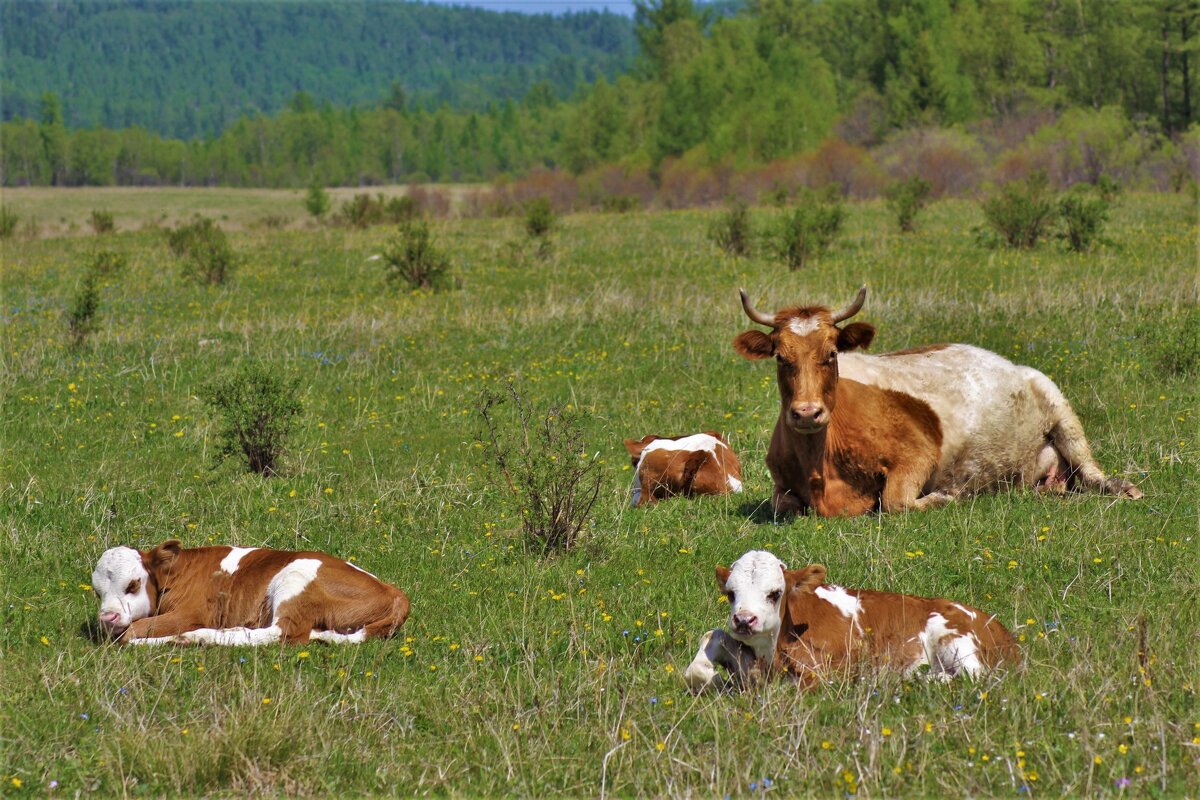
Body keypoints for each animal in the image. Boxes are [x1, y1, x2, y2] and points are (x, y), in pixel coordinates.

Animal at [87, 537, 408, 642]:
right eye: (97, 591)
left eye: (133, 584)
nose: (107, 618)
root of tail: (395, 592)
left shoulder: (190, 614)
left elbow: (133, 632)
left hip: (294, 579)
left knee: (280, 633)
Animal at [691, 551, 1017, 695]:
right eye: (731, 593)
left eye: (775, 593)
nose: (744, 619)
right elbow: (710, 641)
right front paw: (717, 678)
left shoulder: (831, 672)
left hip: (954, 639)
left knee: (972, 675)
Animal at [729, 287, 1142, 520]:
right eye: (781, 357)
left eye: (831, 354)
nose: (807, 413)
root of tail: (1013, 364)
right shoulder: (781, 484)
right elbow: (783, 505)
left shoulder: (917, 455)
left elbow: (895, 502)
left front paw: (946, 496)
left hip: (1060, 407)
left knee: (1092, 471)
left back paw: (1124, 488)